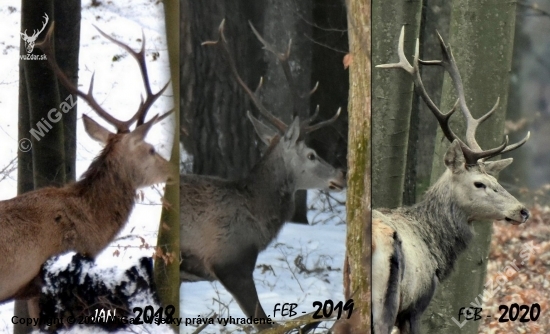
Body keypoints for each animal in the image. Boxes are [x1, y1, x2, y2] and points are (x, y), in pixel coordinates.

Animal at [374, 26, 532, 334]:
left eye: (496, 181)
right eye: (479, 183)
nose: (522, 210)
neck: (435, 249)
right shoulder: (414, 307)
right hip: (386, 299)